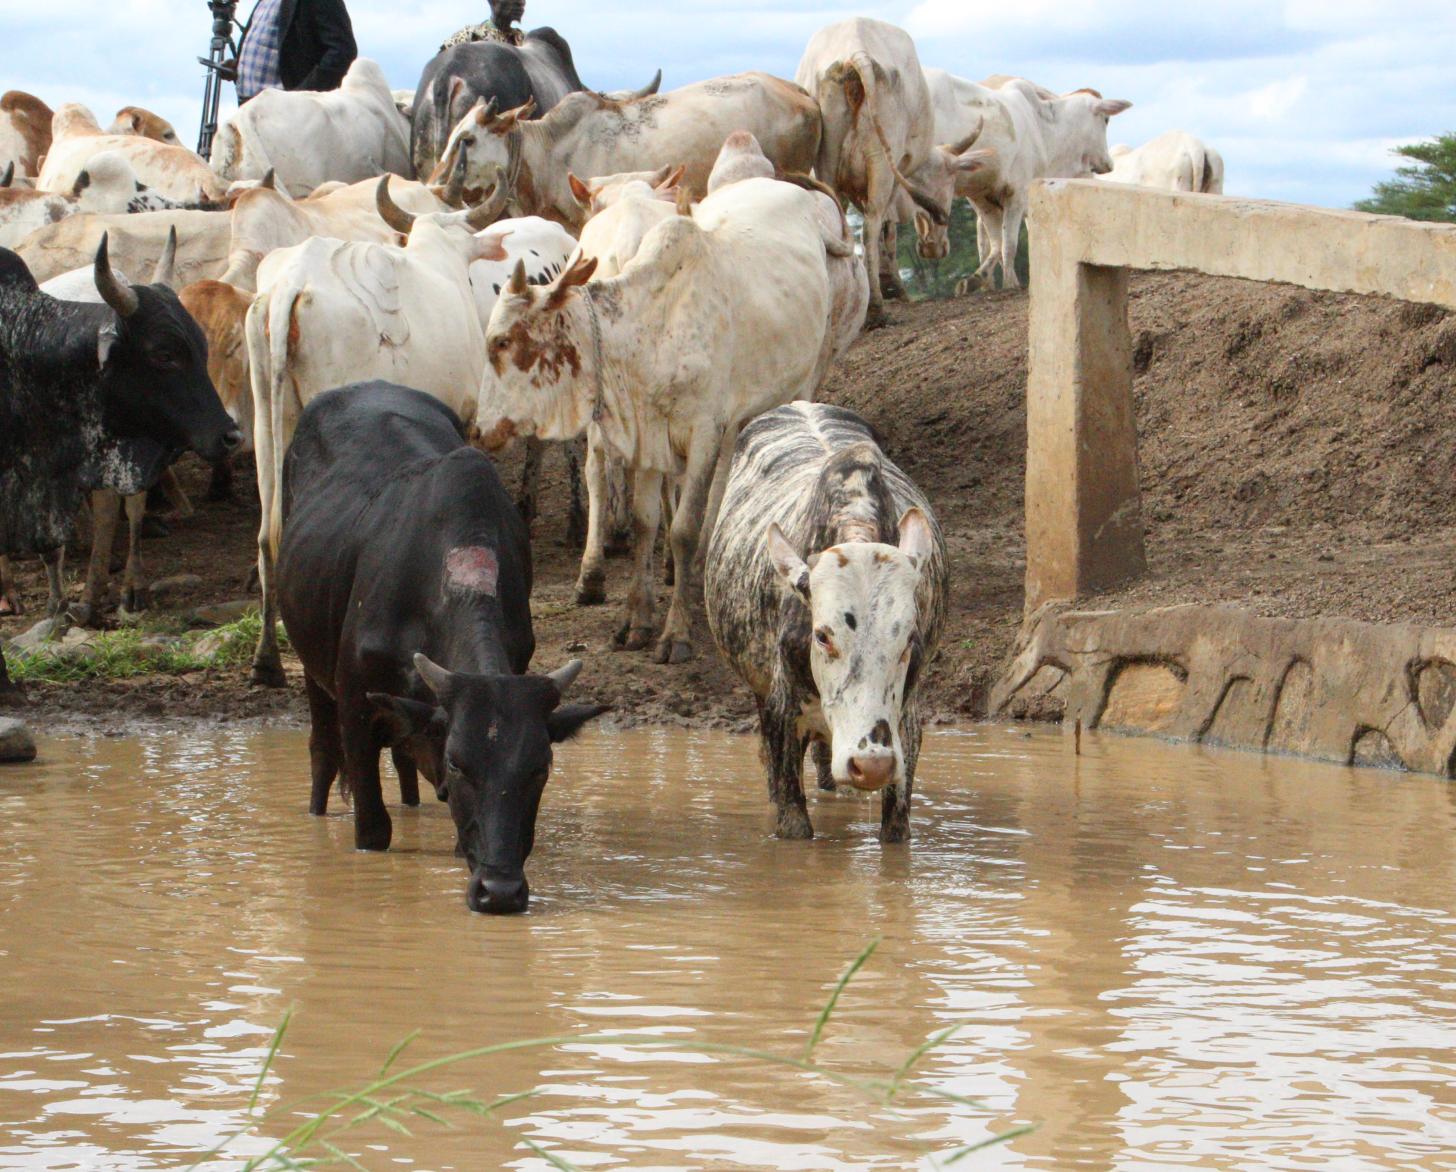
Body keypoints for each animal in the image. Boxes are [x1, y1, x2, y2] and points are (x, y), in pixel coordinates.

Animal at [276, 381, 606, 912]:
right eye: (458, 761)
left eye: (541, 767)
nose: (501, 893)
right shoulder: (356, 706)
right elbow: (373, 827)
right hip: (312, 672)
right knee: (322, 755)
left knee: (405, 763)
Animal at [479, 173, 836, 665]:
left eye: (501, 342)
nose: (479, 429)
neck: (652, 329)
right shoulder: (649, 436)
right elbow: (646, 520)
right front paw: (637, 620)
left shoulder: (703, 431)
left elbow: (682, 529)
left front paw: (675, 632)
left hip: (801, 381)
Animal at [704, 402, 946, 843]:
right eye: (822, 636)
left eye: (908, 640)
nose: (871, 765)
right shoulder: (781, 713)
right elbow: (792, 819)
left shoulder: (907, 723)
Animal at [796, 18, 947, 321]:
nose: (936, 248)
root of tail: (858, 53)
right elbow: (888, 228)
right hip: (883, 161)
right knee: (872, 223)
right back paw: (876, 308)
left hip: (830, 158)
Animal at [921, 69, 1132, 288]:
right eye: (1106, 120)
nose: (1109, 164)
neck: (1043, 129)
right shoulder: (1016, 194)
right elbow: (1008, 245)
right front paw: (1009, 284)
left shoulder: (983, 199)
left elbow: (996, 243)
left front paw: (979, 279)